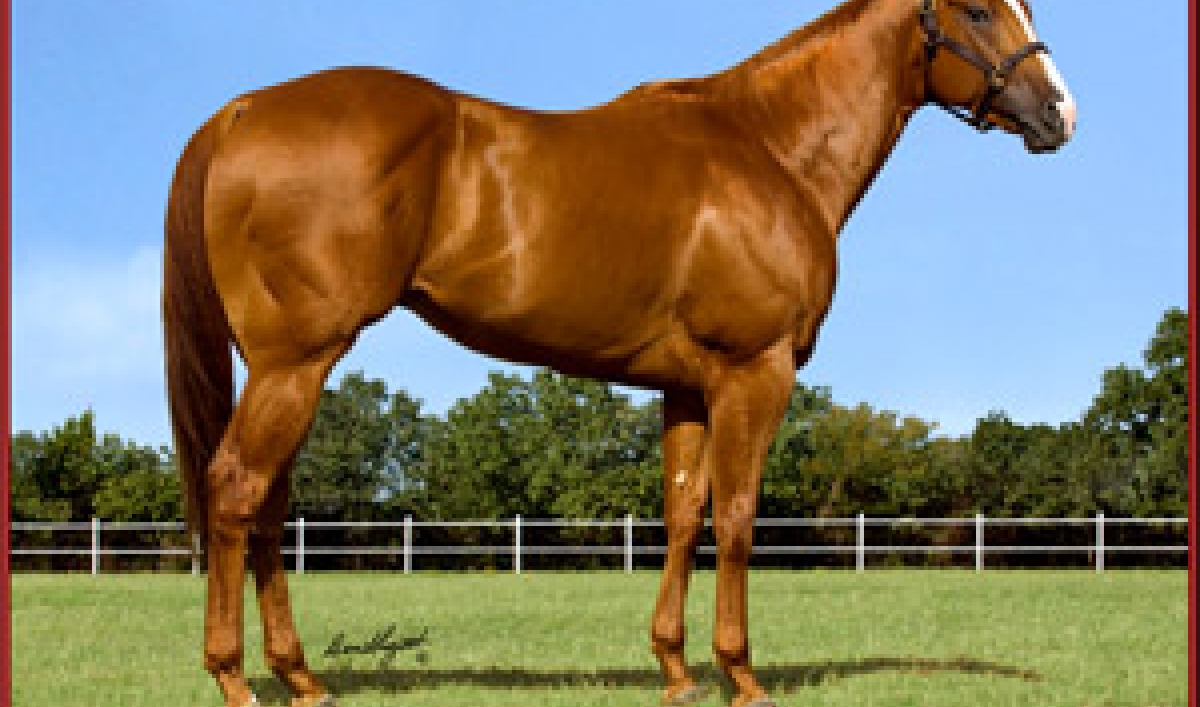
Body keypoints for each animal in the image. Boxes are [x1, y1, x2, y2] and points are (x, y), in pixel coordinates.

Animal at [163, 0, 1075, 705]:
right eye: (980, 10)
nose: (1060, 115)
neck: (768, 149)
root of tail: (243, 109)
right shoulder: (754, 371)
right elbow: (737, 515)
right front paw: (743, 675)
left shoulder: (689, 387)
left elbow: (683, 515)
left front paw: (677, 669)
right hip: (296, 362)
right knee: (237, 488)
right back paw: (235, 678)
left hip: (286, 368)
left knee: (268, 506)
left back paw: (301, 678)